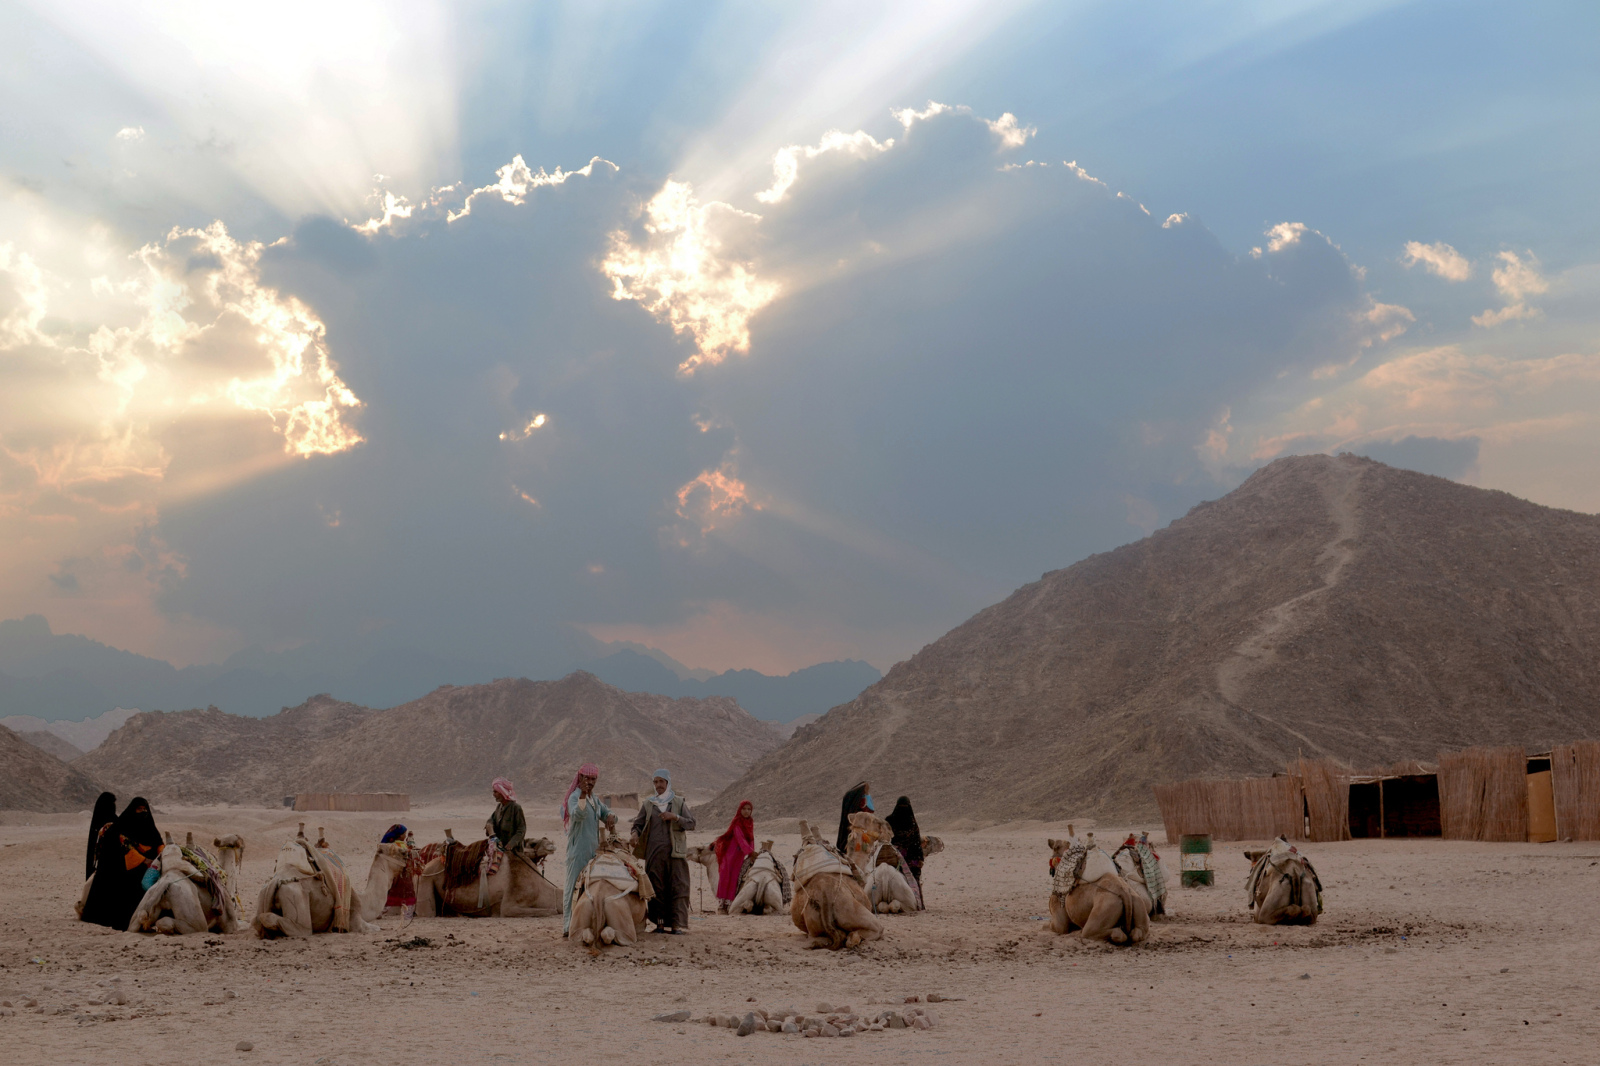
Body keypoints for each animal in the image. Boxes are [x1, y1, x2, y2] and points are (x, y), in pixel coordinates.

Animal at [252, 825, 409, 934]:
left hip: (262, 894)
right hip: (294, 895)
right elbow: (376, 928)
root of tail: (274, 881)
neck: (362, 899)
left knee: (256, 921)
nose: (408, 854)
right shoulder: (354, 920)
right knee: (298, 926)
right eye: (401, 852)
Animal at [790, 813, 889, 947]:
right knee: (861, 935)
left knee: (817, 940)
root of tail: (825, 896)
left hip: (813, 928)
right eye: (876, 821)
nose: (889, 831)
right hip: (853, 912)